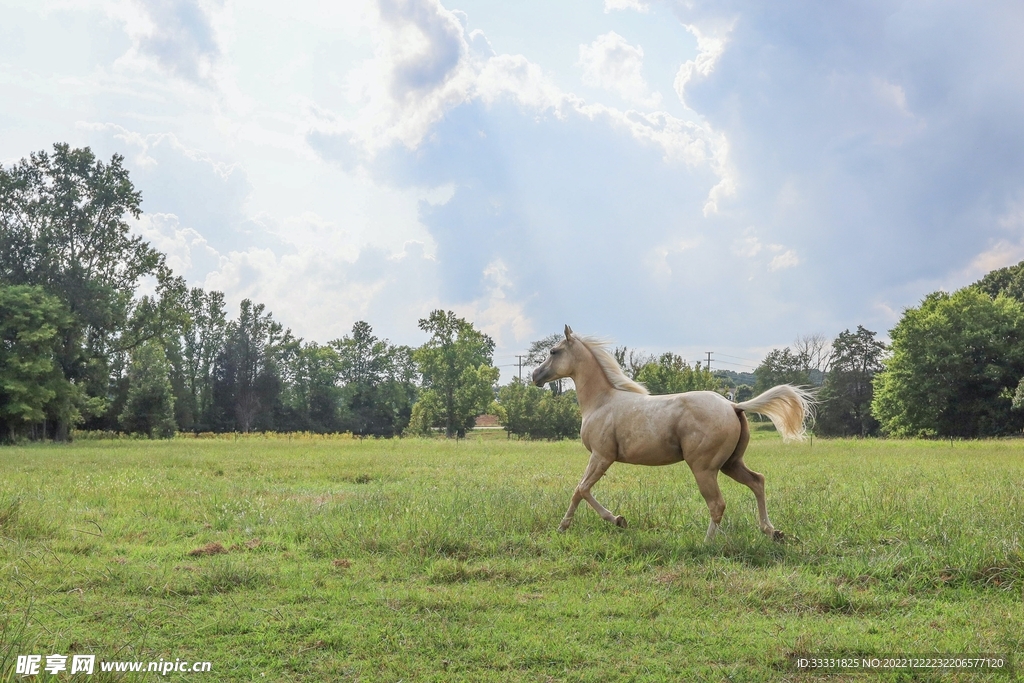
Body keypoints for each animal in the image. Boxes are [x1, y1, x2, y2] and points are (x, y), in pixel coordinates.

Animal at [531, 326, 814, 542]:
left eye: (553, 351)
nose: (535, 375)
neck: (601, 402)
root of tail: (733, 405)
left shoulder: (601, 456)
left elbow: (581, 489)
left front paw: (599, 522)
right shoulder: (601, 458)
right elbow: (581, 490)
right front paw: (608, 521)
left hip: (704, 468)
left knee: (717, 504)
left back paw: (706, 543)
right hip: (731, 464)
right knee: (757, 481)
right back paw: (772, 531)